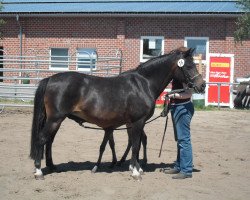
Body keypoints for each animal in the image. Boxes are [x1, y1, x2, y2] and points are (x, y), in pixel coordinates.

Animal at [30, 47, 205, 180]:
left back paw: (52, 167)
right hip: (55, 119)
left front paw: (135, 167)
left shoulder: (134, 123)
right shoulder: (138, 121)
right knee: (42, 139)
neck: (144, 83)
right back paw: (38, 171)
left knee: (49, 141)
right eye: (189, 66)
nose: (202, 85)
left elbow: (135, 144)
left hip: (57, 120)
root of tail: (50, 79)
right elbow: (135, 145)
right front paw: (135, 172)